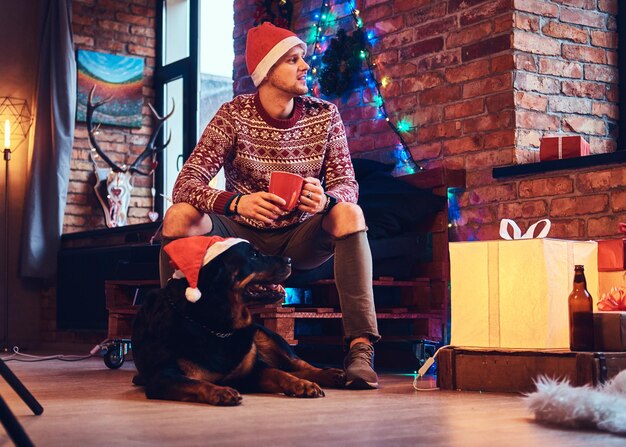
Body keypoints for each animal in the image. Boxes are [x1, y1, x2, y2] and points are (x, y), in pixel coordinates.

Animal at [132, 238, 346, 406]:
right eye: (254, 255)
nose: (290, 260)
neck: (216, 325)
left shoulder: (252, 372)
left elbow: (279, 373)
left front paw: (300, 384)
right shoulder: (162, 376)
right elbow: (194, 382)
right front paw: (219, 390)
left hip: (267, 336)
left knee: (299, 365)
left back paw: (329, 374)